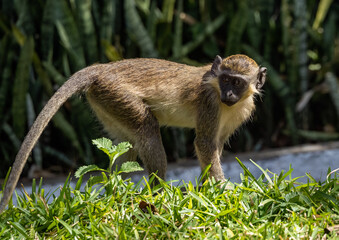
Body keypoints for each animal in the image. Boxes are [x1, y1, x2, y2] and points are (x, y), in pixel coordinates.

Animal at [0, 54, 266, 212]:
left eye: (237, 83)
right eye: (226, 79)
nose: (228, 94)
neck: (224, 101)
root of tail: (100, 70)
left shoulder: (239, 111)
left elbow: (215, 146)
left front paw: (207, 189)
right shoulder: (210, 103)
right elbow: (204, 143)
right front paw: (222, 190)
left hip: (107, 103)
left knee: (125, 144)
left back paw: (116, 191)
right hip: (117, 94)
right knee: (147, 128)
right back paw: (157, 193)